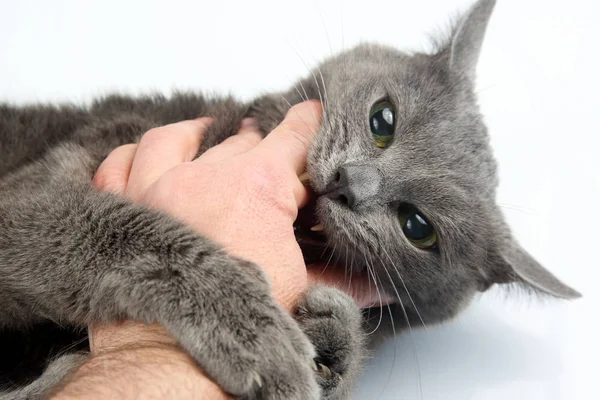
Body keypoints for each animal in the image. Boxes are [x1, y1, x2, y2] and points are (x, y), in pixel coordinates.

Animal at [0, 0, 580, 398]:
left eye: (418, 227)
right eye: (383, 121)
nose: (350, 182)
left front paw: (335, 342)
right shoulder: (33, 196)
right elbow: (115, 230)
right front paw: (250, 328)